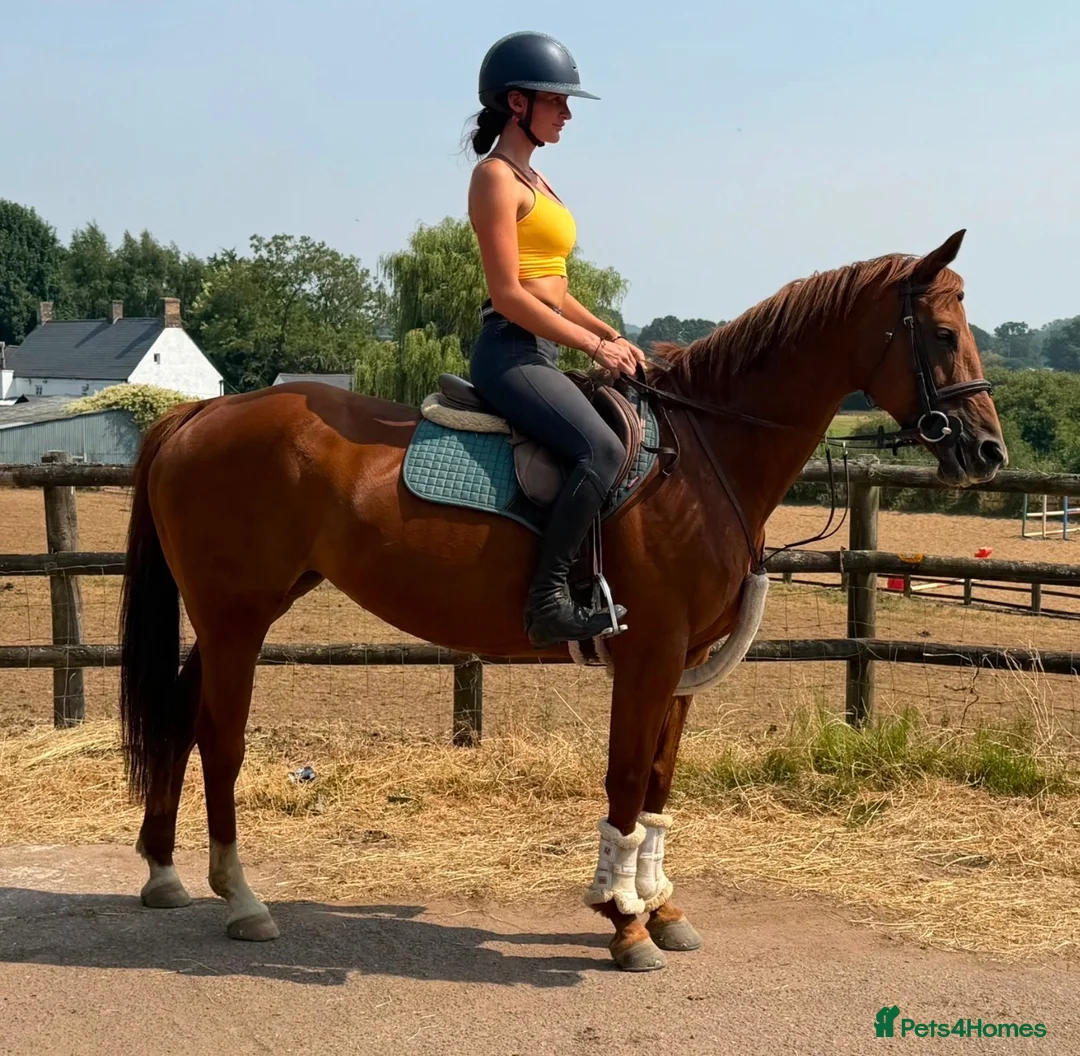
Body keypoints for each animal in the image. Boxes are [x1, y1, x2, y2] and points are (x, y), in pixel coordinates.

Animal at [119, 229, 1005, 972]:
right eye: (940, 332)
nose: (987, 450)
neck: (704, 454)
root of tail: (199, 413)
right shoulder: (648, 658)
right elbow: (625, 779)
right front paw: (623, 921)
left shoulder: (683, 665)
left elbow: (659, 784)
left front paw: (661, 907)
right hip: (238, 619)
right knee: (220, 741)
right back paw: (242, 899)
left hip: (233, 617)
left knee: (180, 717)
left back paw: (164, 874)